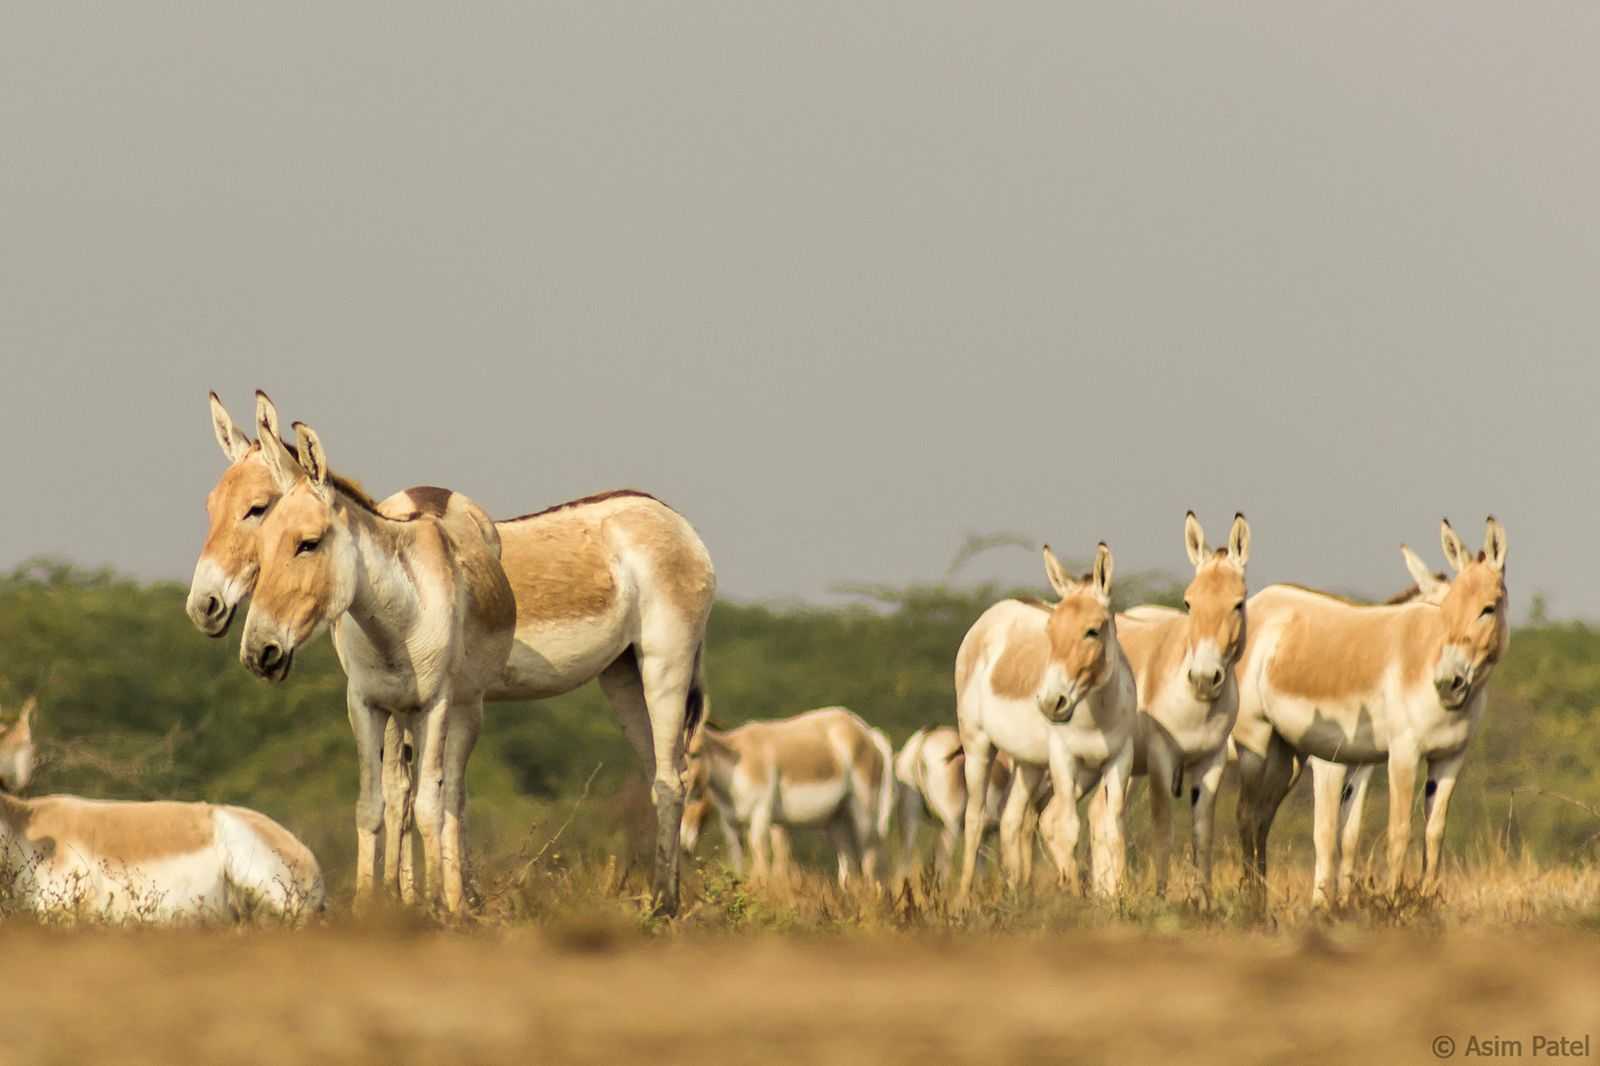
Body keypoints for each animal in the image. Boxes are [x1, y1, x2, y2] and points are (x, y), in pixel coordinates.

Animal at [195, 392, 713, 915]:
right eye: (212, 507)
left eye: (258, 510)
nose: (205, 607)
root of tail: (670, 515)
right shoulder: (373, 701)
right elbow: (387, 799)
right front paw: (387, 900)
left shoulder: (435, 701)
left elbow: (424, 800)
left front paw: (429, 902)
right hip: (622, 674)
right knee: (658, 772)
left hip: (665, 664)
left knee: (671, 781)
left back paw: (665, 905)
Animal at [947, 544, 1139, 902]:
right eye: (1050, 631)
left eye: (1092, 631)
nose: (1051, 702)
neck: (1097, 717)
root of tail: (994, 612)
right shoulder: (1063, 758)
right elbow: (1067, 827)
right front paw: (1076, 897)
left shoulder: (1120, 758)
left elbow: (1114, 826)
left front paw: (1119, 898)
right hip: (977, 744)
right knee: (975, 818)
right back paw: (962, 901)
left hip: (1029, 763)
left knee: (1010, 819)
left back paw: (1016, 894)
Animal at [1228, 518, 1504, 902]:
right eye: (1446, 612)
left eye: (1488, 608)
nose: (1449, 684)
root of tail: (1260, 601)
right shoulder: (1375, 757)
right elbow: (1374, 832)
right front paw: (1379, 903)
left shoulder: (1444, 757)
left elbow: (1424, 833)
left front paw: (1422, 901)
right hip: (1253, 743)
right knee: (1245, 814)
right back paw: (1251, 899)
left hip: (1285, 756)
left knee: (1260, 818)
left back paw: (1261, 896)